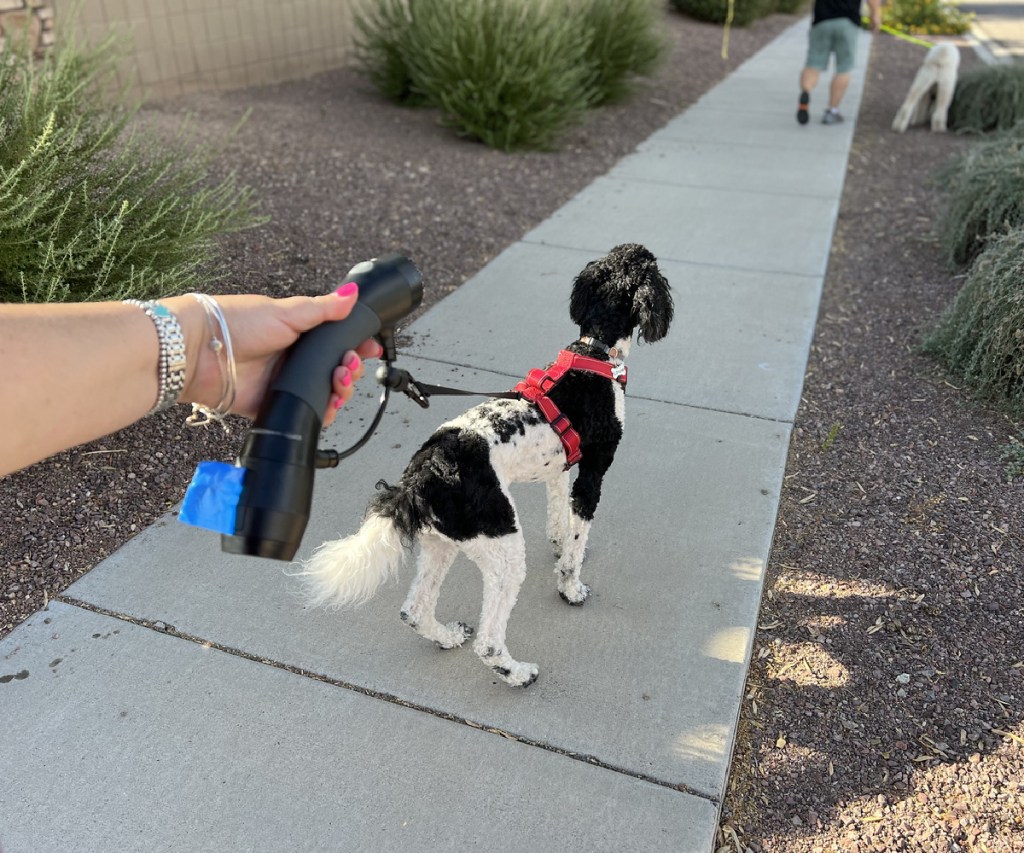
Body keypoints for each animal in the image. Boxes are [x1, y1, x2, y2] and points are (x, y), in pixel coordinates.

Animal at [299, 241, 675, 684]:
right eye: (650, 264)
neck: (594, 352)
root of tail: (422, 475)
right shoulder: (593, 473)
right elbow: (577, 536)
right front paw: (571, 585)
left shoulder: (559, 468)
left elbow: (559, 518)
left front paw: (561, 545)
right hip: (503, 548)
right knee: (489, 641)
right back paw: (516, 673)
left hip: (442, 543)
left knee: (414, 611)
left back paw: (446, 636)